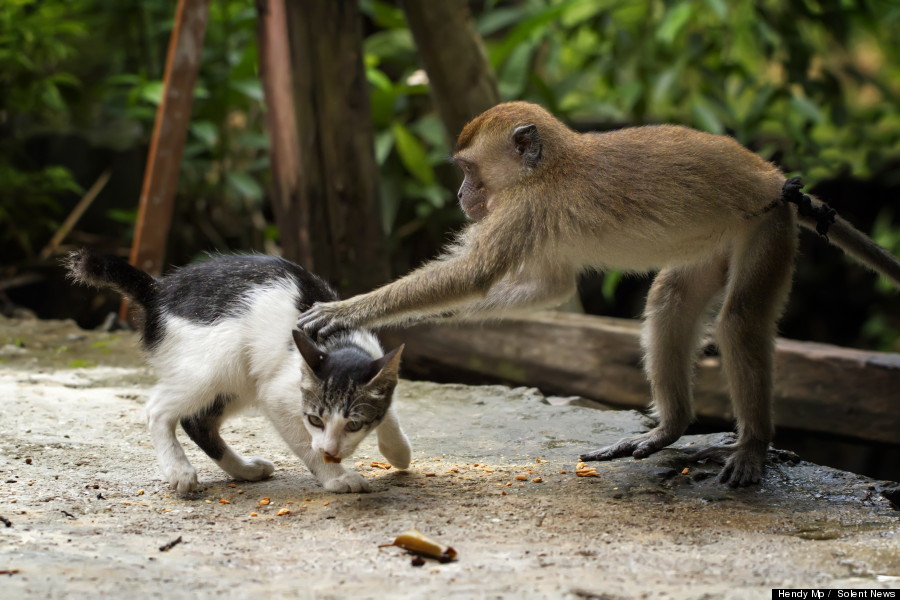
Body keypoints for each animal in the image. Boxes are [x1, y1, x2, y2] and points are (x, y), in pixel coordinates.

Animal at [66, 248, 412, 492]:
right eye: (315, 420)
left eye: (354, 425)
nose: (331, 451)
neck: (337, 343)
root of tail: (158, 290)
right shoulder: (278, 395)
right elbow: (305, 443)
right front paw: (336, 477)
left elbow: (390, 411)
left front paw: (397, 451)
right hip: (217, 361)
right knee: (158, 410)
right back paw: (178, 469)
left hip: (241, 380)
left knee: (197, 422)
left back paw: (245, 470)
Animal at [300, 102, 900, 488]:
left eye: (469, 169)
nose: (462, 194)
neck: (550, 166)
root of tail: (774, 181)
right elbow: (549, 286)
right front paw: (433, 325)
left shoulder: (526, 207)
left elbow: (473, 274)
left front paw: (349, 310)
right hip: (723, 238)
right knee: (671, 302)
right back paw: (670, 428)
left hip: (767, 227)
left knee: (741, 321)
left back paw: (751, 444)